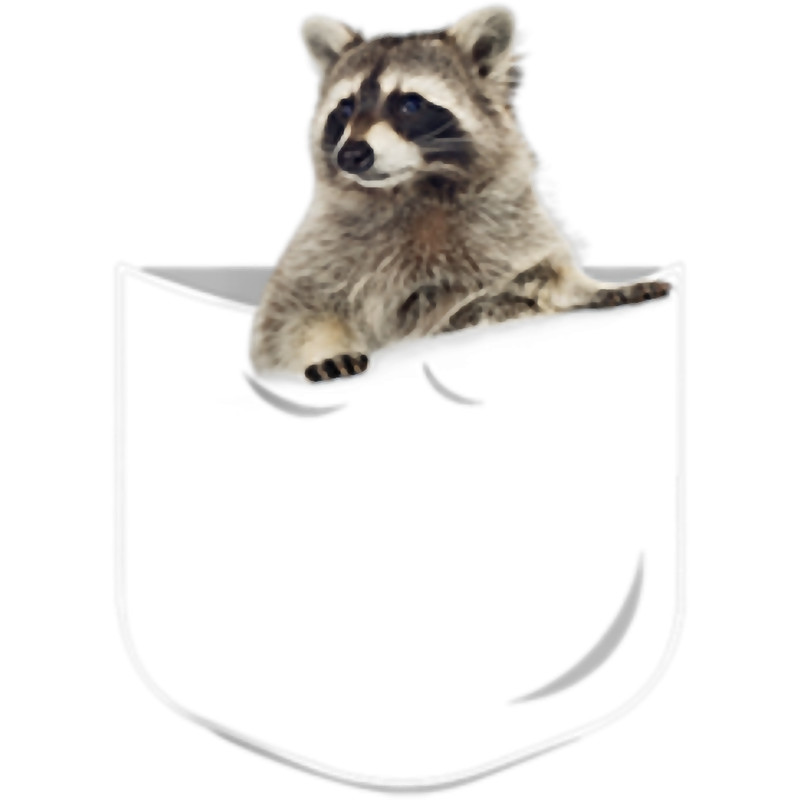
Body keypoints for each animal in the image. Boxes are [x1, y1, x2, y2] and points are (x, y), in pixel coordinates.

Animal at [250, 7, 670, 382]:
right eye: (346, 107)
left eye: (409, 104)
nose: (351, 154)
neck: (417, 187)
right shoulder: (325, 245)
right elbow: (287, 316)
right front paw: (322, 343)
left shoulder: (509, 223)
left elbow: (544, 274)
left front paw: (592, 286)